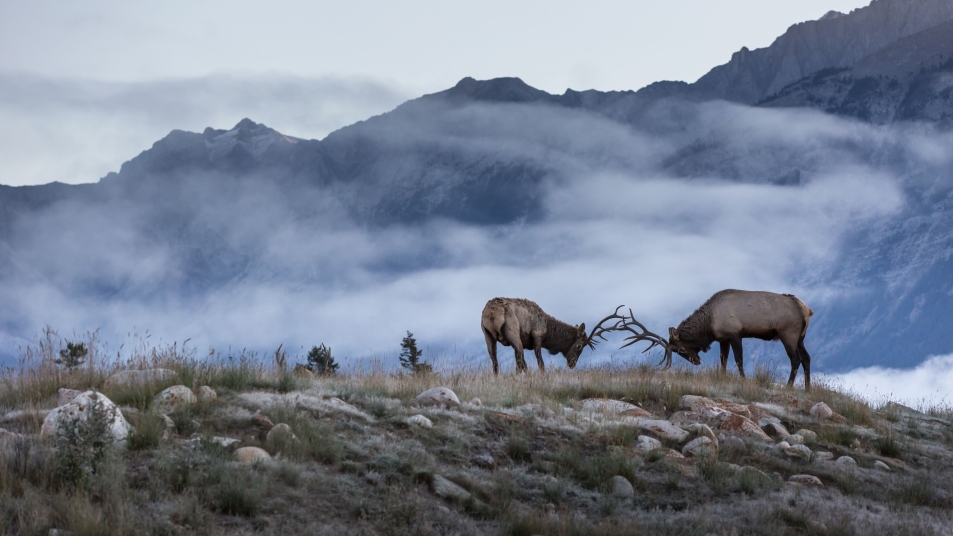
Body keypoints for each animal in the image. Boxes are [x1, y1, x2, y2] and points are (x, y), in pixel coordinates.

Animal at [480, 298, 628, 372]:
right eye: (579, 346)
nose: (572, 363)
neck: (548, 332)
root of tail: (492, 313)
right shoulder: (537, 337)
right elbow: (540, 363)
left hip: (488, 336)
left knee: (496, 362)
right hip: (513, 333)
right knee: (520, 360)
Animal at [620, 292, 816, 392]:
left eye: (680, 350)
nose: (696, 361)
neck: (709, 325)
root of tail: (807, 310)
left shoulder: (735, 333)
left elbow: (738, 359)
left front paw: (743, 380)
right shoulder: (724, 339)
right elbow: (723, 361)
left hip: (788, 333)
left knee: (796, 359)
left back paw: (788, 387)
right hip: (801, 337)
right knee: (807, 358)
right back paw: (807, 389)